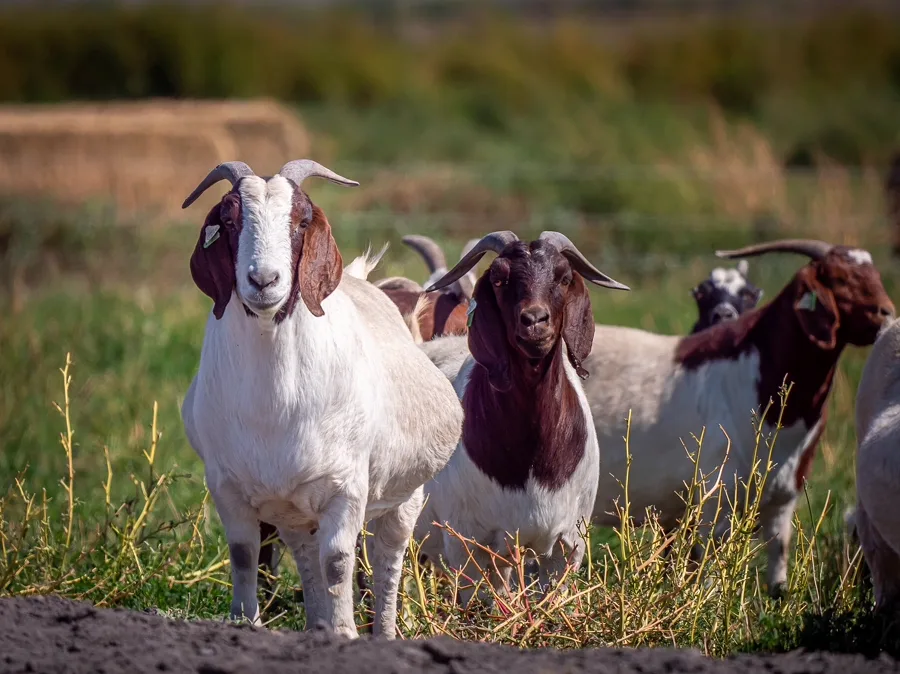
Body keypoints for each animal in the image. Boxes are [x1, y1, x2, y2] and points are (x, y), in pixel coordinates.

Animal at [180, 160, 462, 638]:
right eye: (230, 220)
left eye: (302, 221)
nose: (263, 280)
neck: (274, 406)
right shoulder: (228, 487)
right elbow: (244, 556)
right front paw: (245, 623)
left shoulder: (345, 488)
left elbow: (338, 563)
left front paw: (346, 633)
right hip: (293, 508)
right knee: (304, 553)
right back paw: (316, 628)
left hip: (406, 495)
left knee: (388, 558)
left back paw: (384, 631)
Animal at [581, 239, 893, 597]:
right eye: (838, 279)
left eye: (874, 274)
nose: (886, 312)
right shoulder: (716, 500)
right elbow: (709, 579)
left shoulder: (783, 498)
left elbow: (778, 575)